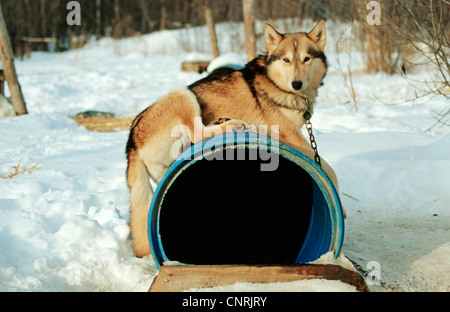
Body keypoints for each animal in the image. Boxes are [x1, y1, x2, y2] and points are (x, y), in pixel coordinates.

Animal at [125, 20, 338, 258]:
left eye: (306, 58)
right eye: (286, 60)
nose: (297, 83)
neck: (276, 84)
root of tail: (131, 141)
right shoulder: (291, 135)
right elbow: (330, 170)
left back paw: (223, 122)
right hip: (182, 94)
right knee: (198, 132)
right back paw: (231, 124)